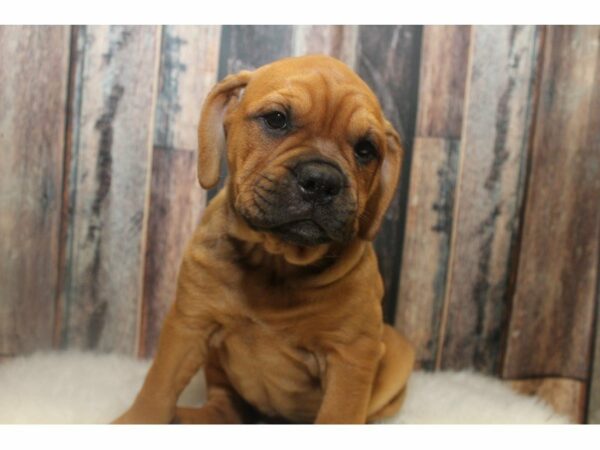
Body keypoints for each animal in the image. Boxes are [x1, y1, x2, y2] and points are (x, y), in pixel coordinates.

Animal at [113, 54, 412, 424]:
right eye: (277, 119)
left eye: (366, 150)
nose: (322, 181)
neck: (275, 260)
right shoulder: (188, 324)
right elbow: (158, 387)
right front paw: (136, 419)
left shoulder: (352, 354)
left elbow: (338, 414)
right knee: (224, 404)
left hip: (396, 355)